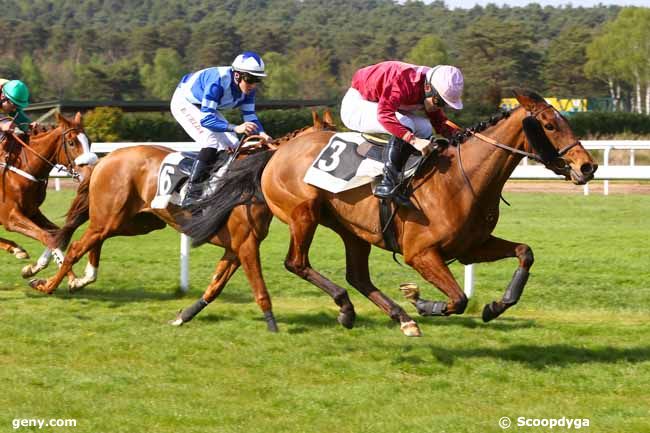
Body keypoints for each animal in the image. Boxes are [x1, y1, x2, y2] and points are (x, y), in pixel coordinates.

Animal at [0, 111, 96, 274]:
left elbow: (56, 234)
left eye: (88, 142)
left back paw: (16, 249)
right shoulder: (10, 217)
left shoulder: (32, 211)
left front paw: (34, 267)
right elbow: (46, 236)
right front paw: (70, 276)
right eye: (71, 143)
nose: (90, 173)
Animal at [29, 110, 334, 330]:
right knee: (77, 247)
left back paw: (76, 279)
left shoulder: (236, 246)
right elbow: (258, 288)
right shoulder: (246, 244)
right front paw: (273, 327)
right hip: (112, 217)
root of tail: (105, 159)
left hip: (134, 222)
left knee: (93, 241)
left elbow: (215, 285)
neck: (254, 176)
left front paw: (182, 316)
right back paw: (49, 284)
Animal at [181, 89, 592, 336]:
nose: (587, 167)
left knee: (358, 275)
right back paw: (349, 307)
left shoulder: (471, 246)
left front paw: (495, 305)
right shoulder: (421, 253)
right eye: (550, 124)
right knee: (297, 262)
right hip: (303, 212)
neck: (464, 178)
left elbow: (525, 252)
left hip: (354, 230)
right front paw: (422, 300)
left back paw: (400, 318)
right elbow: (458, 299)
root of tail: (276, 151)